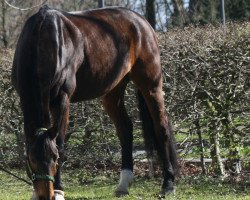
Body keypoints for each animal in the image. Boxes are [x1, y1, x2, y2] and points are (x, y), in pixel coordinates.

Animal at [11, 4, 178, 200]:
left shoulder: (62, 100)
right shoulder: (24, 98)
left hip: (151, 84)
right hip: (112, 91)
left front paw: (59, 190)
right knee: (125, 129)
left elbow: (60, 141)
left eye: (55, 157)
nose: (45, 195)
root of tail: (142, 21)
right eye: (31, 159)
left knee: (161, 127)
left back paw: (168, 184)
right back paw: (123, 184)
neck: (42, 38)